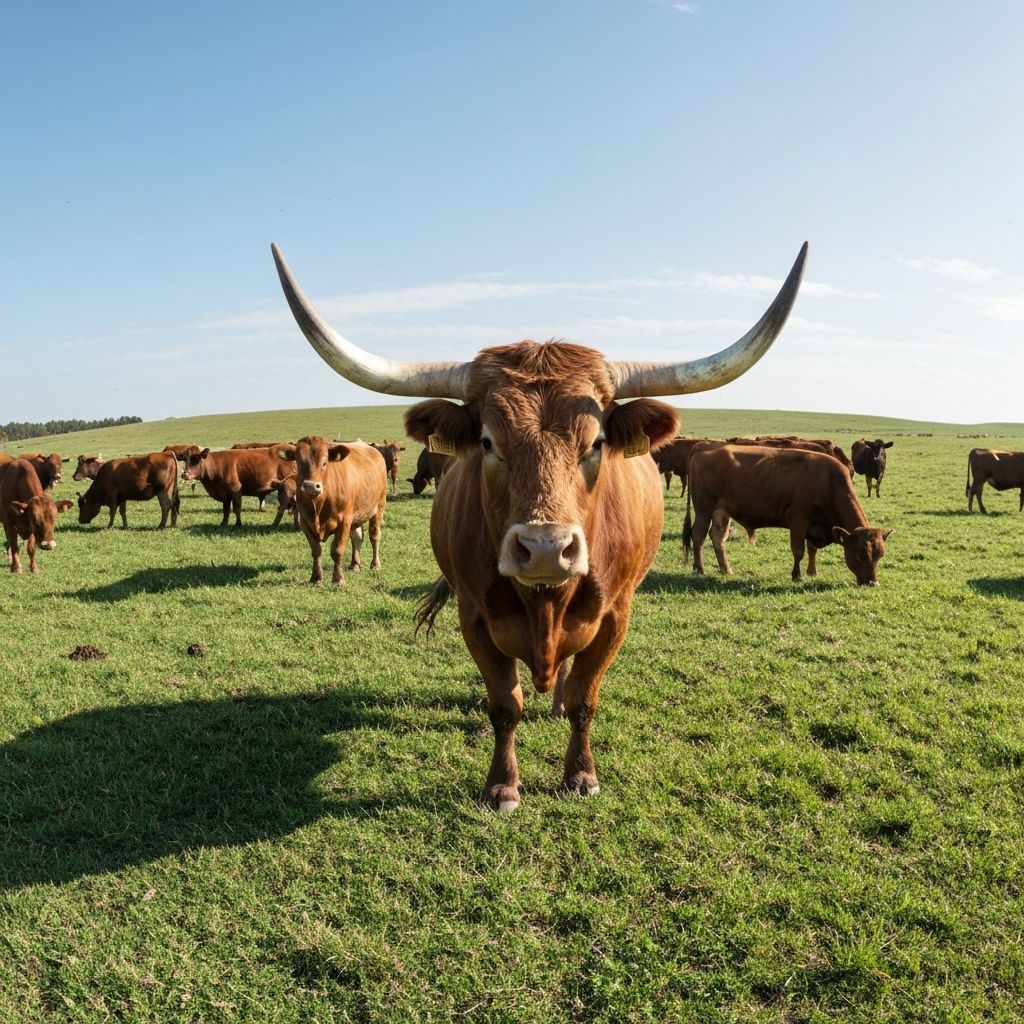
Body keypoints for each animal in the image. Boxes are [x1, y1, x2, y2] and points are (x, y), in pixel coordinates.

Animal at [277, 437, 388, 584]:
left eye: (324, 463)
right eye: (299, 462)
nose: (311, 486)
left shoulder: (344, 522)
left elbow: (337, 551)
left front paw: (338, 579)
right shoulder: (305, 522)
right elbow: (316, 550)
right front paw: (316, 578)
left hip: (379, 506)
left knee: (374, 536)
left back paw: (375, 565)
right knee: (357, 537)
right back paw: (355, 564)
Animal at [683, 444, 892, 585]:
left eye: (879, 555)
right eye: (860, 555)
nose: (873, 583)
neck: (829, 482)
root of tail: (705, 445)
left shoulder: (814, 525)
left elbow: (812, 550)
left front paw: (812, 572)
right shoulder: (799, 522)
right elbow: (798, 551)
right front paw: (796, 576)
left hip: (721, 511)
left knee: (718, 538)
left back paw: (726, 569)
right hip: (704, 510)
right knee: (698, 536)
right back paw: (699, 569)